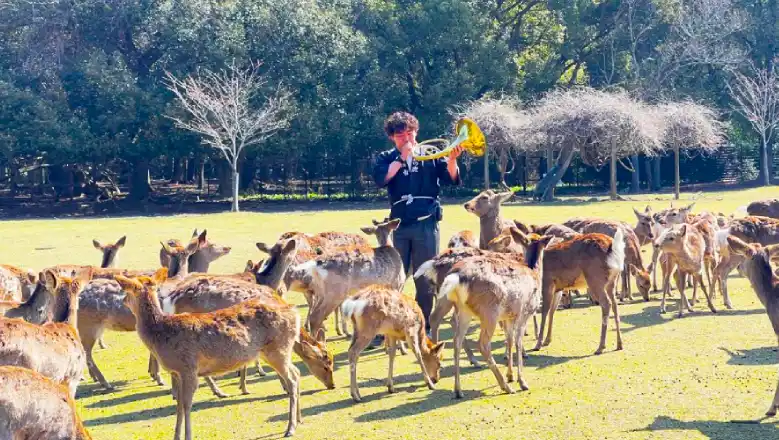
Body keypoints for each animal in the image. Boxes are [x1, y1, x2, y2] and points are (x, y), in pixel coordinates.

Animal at [115, 268, 303, 440]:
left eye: (126, 291)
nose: (123, 300)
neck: (160, 336)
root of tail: (295, 312)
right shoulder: (176, 372)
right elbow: (179, 406)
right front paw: (176, 436)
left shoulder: (188, 368)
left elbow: (187, 405)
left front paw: (188, 436)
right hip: (278, 351)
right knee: (296, 372)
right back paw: (299, 419)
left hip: (278, 349)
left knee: (292, 379)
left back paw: (290, 428)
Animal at [439, 232, 552, 397]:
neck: (534, 272)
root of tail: (456, 277)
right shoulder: (524, 312)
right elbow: (518, 342)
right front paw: (522, 381)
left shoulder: (509, 316)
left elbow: (509, 340)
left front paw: (510, 375)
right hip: (489, 311)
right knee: (483, 344)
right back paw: (506, 387)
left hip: (464, 310)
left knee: (457, 341)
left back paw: (458, 390)